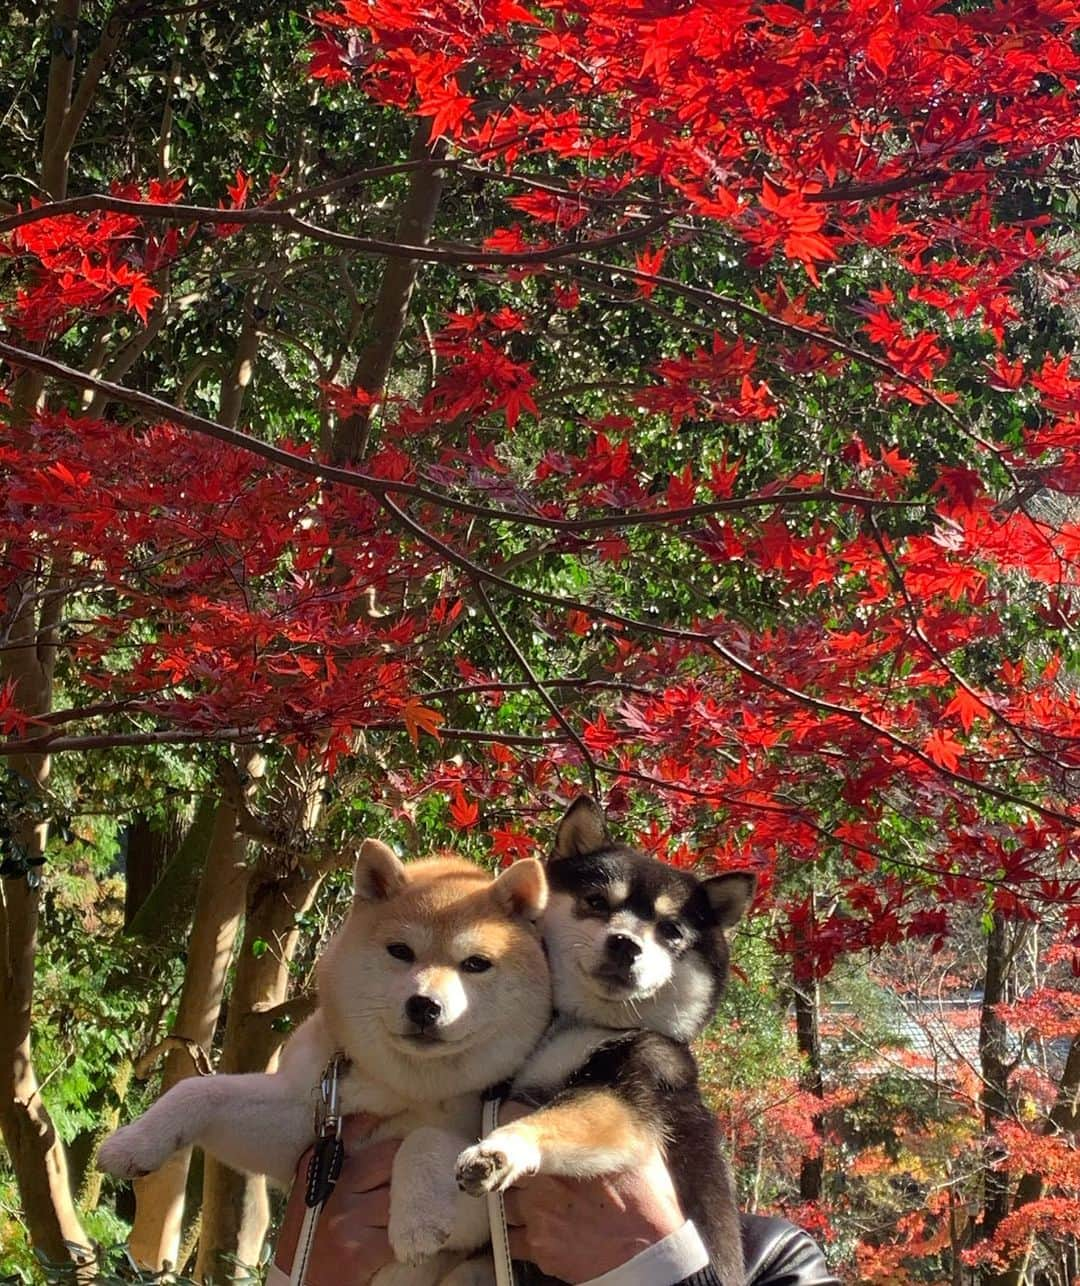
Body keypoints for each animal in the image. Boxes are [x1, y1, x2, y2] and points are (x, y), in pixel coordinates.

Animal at [455, 797, 750, 1280]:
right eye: (596, 902)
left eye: (671, 930)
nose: (626, 944)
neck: (581, 1024)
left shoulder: (633, 1091)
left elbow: (559, 1116)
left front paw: (504, 1147)